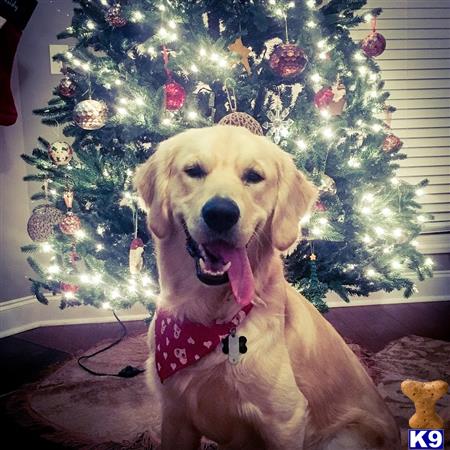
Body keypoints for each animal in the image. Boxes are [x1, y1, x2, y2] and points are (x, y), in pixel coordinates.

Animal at [134, 125, 400, 450]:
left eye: (253, 176)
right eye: (194, 170)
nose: (220, 213)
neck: (210, 317)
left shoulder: (285, 420)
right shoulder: (175, 415)